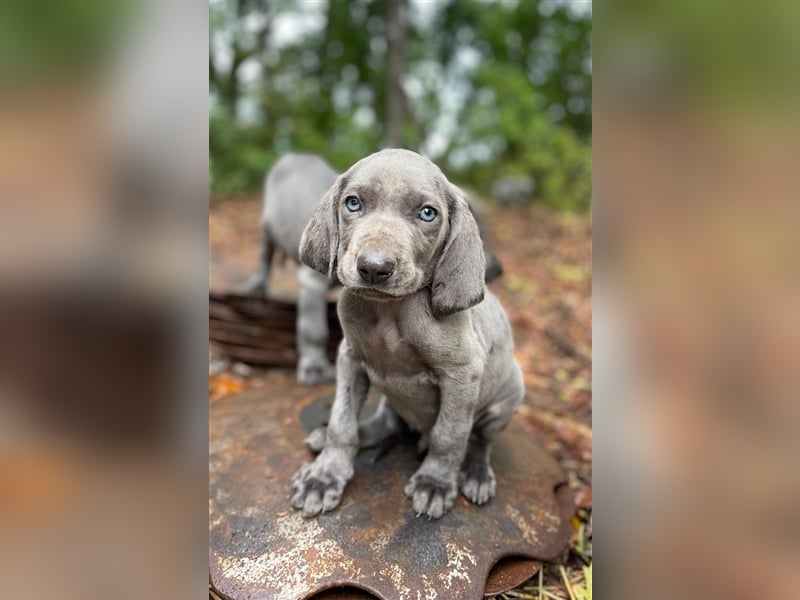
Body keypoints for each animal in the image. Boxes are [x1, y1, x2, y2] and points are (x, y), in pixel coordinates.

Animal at [247, 150, 504, 384]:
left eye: (427, 213)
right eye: (353, 203)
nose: (498, 270)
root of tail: (295, 154)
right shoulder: (312, 281)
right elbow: (314, 329)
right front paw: (314, 369)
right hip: (266, 226)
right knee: (264, 255)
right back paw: (257, 285)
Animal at [292, 148, 524, 516]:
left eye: (427, 213)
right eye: (353, 203)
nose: (374, 268)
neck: (390, 313)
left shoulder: (462, 374)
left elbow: (450, 435)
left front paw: (435, 483)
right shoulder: (349, 358)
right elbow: (343, 423)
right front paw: (324, 476)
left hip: (509, 394)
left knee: (479, 442)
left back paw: (475, 474)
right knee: (387, 423)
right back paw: (329, 434)